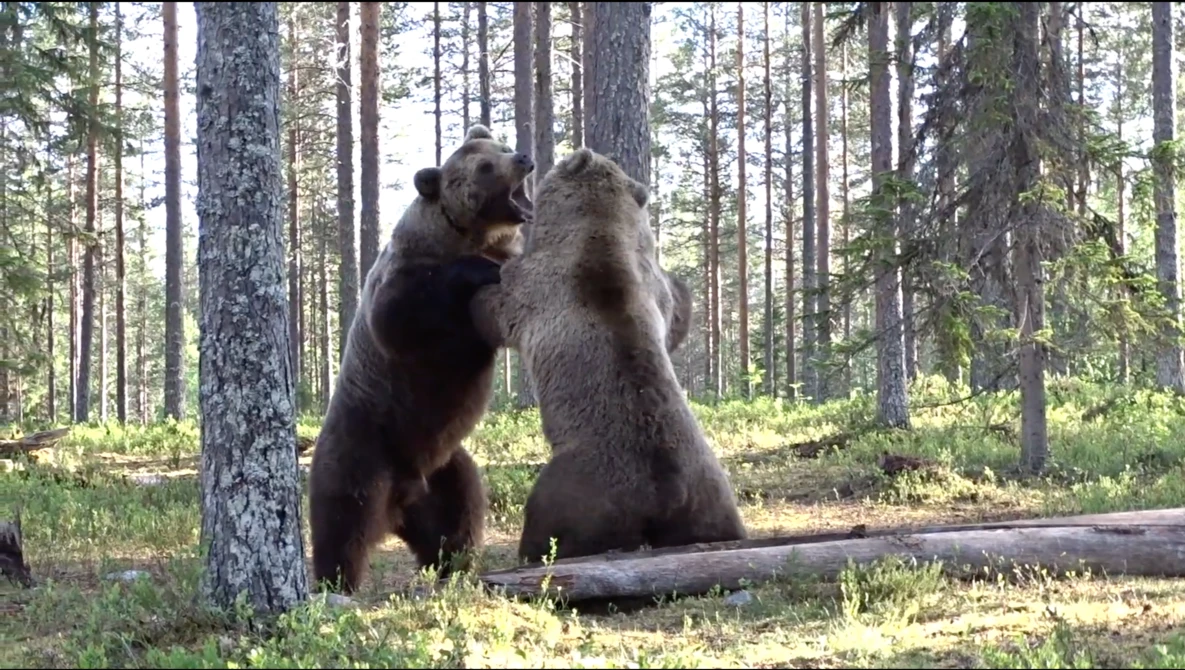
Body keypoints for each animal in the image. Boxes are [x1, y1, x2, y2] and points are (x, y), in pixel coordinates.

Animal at [308, 124, 533, 594]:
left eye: (502, 146)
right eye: (485, 167)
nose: (523, 158)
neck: (468, 236)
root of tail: (398, 503)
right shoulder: (403, 278)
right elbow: (400, 316)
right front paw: (478, 269)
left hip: (443, 468)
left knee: (460, 512)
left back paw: (455, 567)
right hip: (365, 441)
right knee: (342, 517)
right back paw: (336, 583)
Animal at [470, 147, 747, 564]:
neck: (597, 230)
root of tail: (663, 497)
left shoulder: (535, 288)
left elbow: (494, 305)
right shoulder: (650, 284)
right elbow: (675, 308)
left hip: (575, 489)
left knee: (546, 525)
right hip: (710, 487)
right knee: (721, 523)